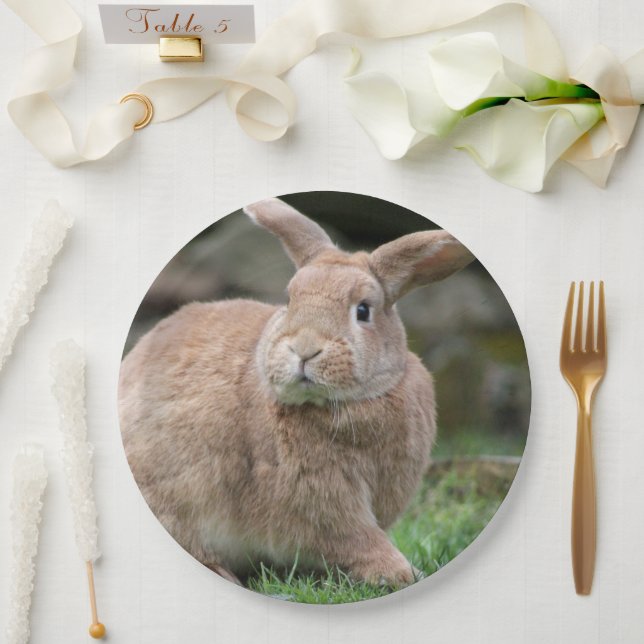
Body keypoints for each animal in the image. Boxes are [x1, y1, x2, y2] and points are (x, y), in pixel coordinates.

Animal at [118, 197, 474, 588]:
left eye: (363, 310)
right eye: (289, 301)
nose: (305, 349)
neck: (344, 405)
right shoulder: (320, 500)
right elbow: (357, 539)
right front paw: (403, 573)